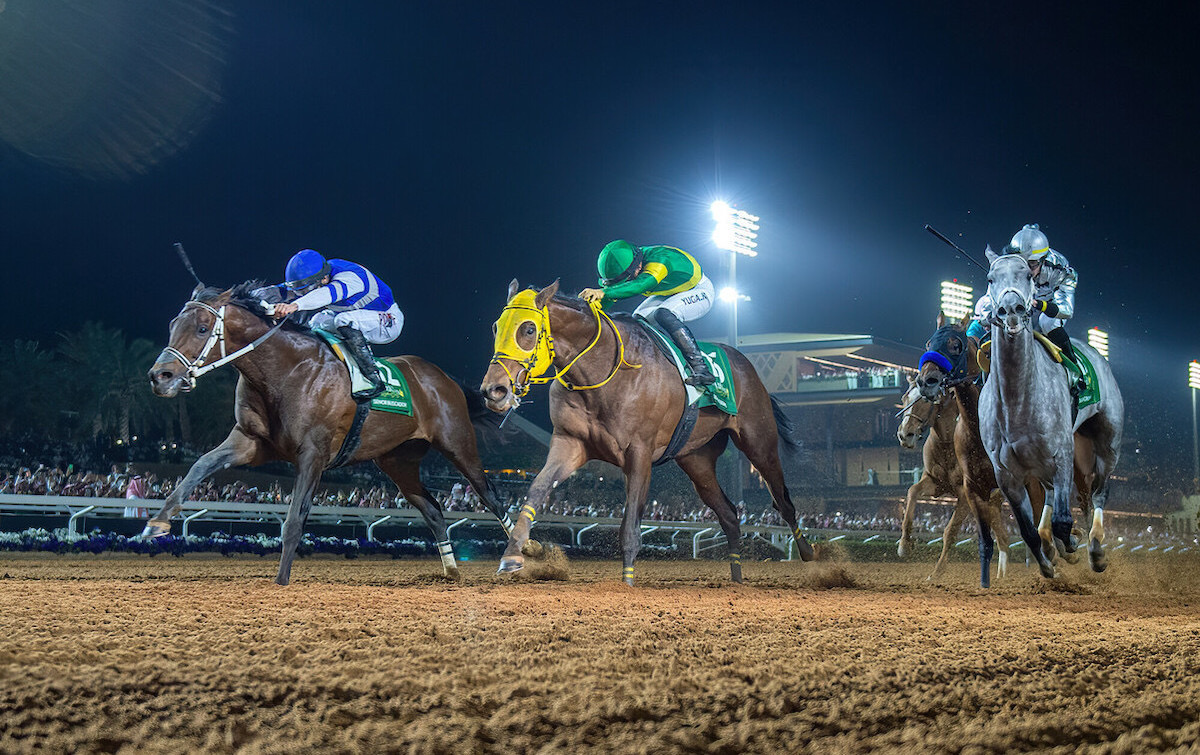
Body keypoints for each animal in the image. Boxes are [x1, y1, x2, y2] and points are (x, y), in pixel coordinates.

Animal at [144, 280, 511, 583]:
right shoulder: (249, 441)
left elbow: (294, 520)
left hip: (458, 443)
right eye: (173, 325)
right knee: (433, 510)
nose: (160, 377)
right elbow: (200, 465)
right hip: (398, 461)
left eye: (202, 328)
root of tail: (445, 380)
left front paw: (280, 582)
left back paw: (519, 556)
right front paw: (157, 522)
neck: (286, 370)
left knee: (492, 498)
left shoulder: (313, 454)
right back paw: (451, 570)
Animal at [477, 279, 816, 585]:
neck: (601, 371)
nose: (494, 390)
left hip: (758, 441)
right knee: (730, 515)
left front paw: (627, 584)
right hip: (697, 460)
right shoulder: (570, 443)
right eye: (495, 327)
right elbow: (536, 489)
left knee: (783, 501)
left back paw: (811, 557)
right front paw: (513, 554)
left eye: (528, 329)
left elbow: (630, 524)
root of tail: (746, 365)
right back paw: (736, 580)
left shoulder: (639, 452)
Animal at [979, 250, 1118, 573]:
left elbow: (1064, 521)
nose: (1011, 309)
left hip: (1108, 441)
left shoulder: (1063, 454)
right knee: (1052, 496)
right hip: (1039, 463)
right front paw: (1047, 562)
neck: (1017, 402)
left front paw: (1071, 543)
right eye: (991, 278)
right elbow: (1027, 529)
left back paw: (1095, 548)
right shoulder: (1006, 474)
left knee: (1099, 492)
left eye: (1026, 276)